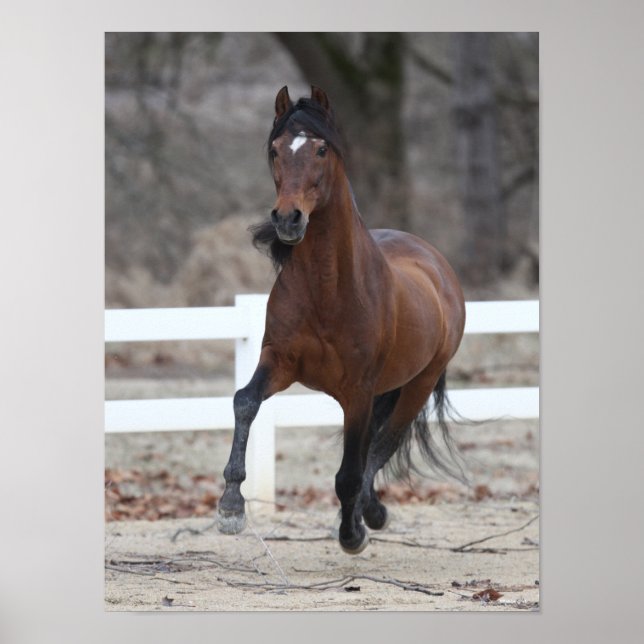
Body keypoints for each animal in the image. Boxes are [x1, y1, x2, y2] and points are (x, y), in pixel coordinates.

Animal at [216, 85, 466, 554]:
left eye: (320, 149)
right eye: (276, 150)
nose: (288, 219)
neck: (328, 291)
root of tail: (436, 264)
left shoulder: (358, 390)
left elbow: (351, 469)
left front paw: (352, 534)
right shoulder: (280, 361)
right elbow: (245, 402)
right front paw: (230, 507)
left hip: (417, 385)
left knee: (384, 443)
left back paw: (371, 515)